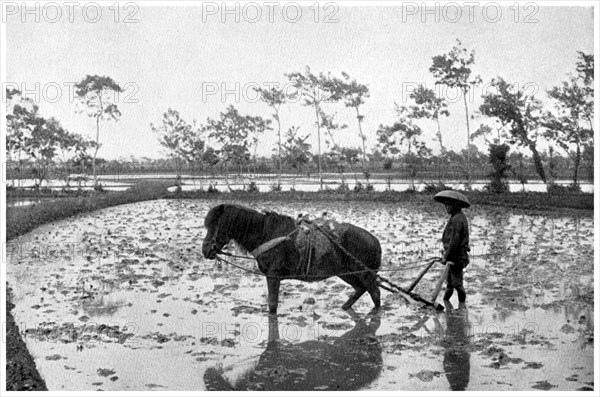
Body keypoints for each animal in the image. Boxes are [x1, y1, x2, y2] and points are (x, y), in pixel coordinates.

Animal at [202, 204, 380, 312]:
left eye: (215, 225)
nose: (205, 250)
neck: (266, 234)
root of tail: (374, 240)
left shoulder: (273, 276)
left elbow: (272, 306)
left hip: (364, 274)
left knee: (375, 293)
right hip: (347, 274)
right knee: (361, 289)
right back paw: (345, 308)